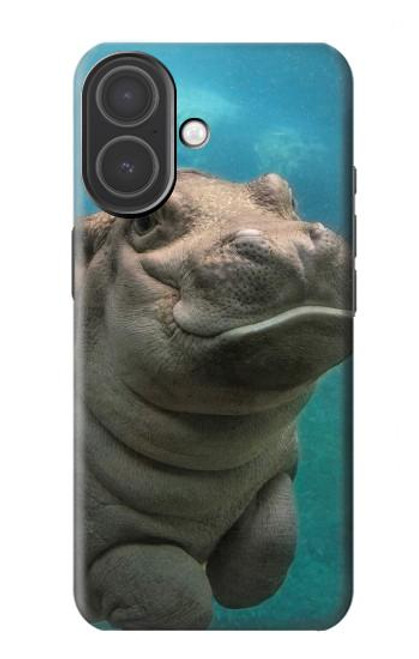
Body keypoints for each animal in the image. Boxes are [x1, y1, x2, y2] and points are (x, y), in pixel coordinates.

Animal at [74, 169, 353, 630]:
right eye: (144, 221)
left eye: (287, 193)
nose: (293, 244)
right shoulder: (102, 539)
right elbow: (177, 597)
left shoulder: (274, 469)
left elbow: (273, 539)